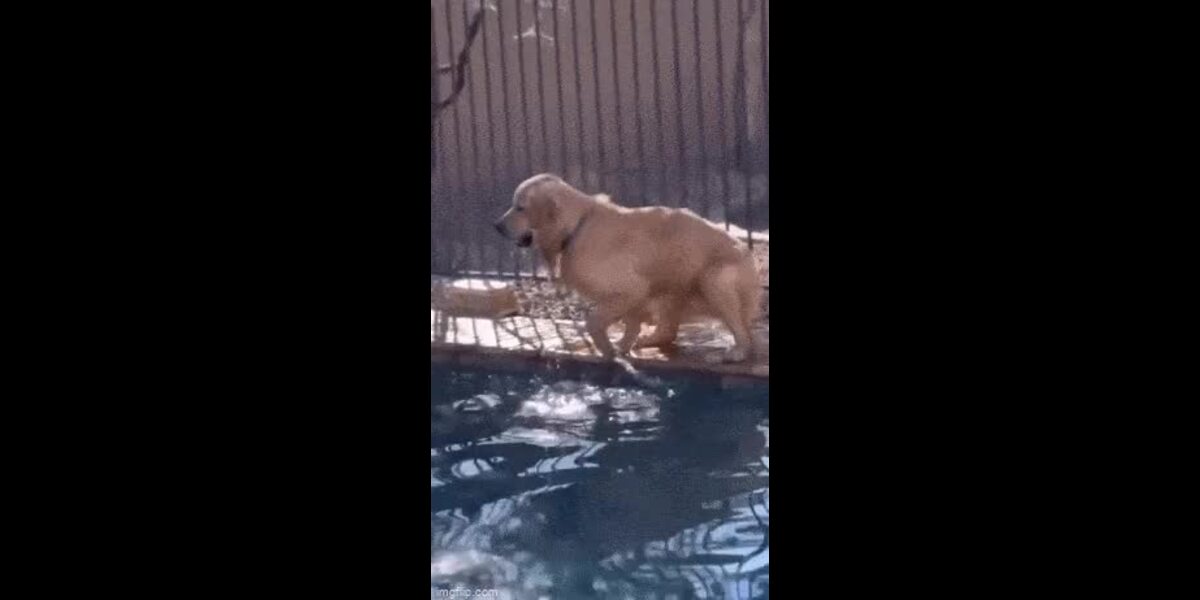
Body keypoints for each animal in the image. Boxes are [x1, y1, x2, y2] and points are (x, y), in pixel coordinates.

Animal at [494, 174, 761, 362]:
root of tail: (749, 254)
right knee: (668, 330)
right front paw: (622, 346)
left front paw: (607, 349)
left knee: (745, 333)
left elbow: (593, 321)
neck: (577, 226)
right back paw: (650, 338)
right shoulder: (636, 292)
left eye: (520, 207)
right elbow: (631, 321)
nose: (496, 225)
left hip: (714, 279)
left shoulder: (631, 287)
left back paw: (737, 351)